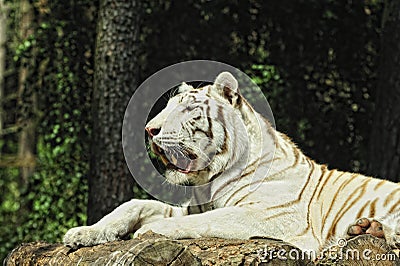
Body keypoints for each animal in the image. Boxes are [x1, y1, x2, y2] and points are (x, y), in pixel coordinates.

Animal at [63, 71, 400, 254]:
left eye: (189, 111)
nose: (149, 130)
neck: (208, 181)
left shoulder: (271, 215)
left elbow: (205, 221)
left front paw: (151, 230)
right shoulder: (189, 205)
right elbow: (132, 204)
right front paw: (83, 233)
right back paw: (366, 228)